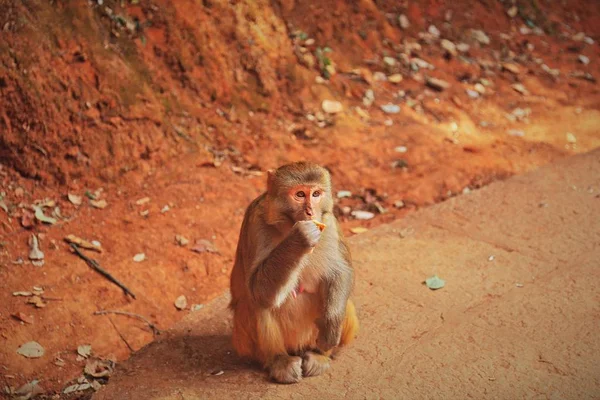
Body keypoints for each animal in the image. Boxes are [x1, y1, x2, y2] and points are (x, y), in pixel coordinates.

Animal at [229, 161, 360, 382]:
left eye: (316, 194)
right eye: (299, 194)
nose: (310, 212)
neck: (286, 225)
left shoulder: (329, 223)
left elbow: (340, 271)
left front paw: (331, 324)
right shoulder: (255, 223)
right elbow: (256, 289)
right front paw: (300, 237)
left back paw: (319, 355)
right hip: (246, 343)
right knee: (257, 304)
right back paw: (279, 361)